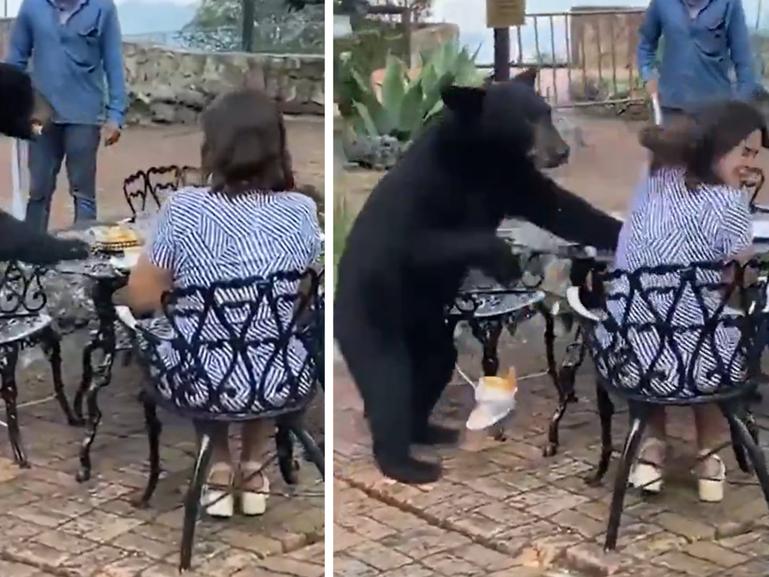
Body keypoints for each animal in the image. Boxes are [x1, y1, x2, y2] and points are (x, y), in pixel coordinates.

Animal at [332, 68, 620, 482]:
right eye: (525, 120)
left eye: (546, 112)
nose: (561, 150)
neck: (484, 156)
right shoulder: (431, 186)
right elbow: (421, 241)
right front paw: (503, 260)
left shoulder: (514, 179)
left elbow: (565, 209)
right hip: (370, 315)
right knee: (387, 378)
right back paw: (406, 463)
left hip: (426, 326)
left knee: (434, 363)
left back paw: (428, 430)